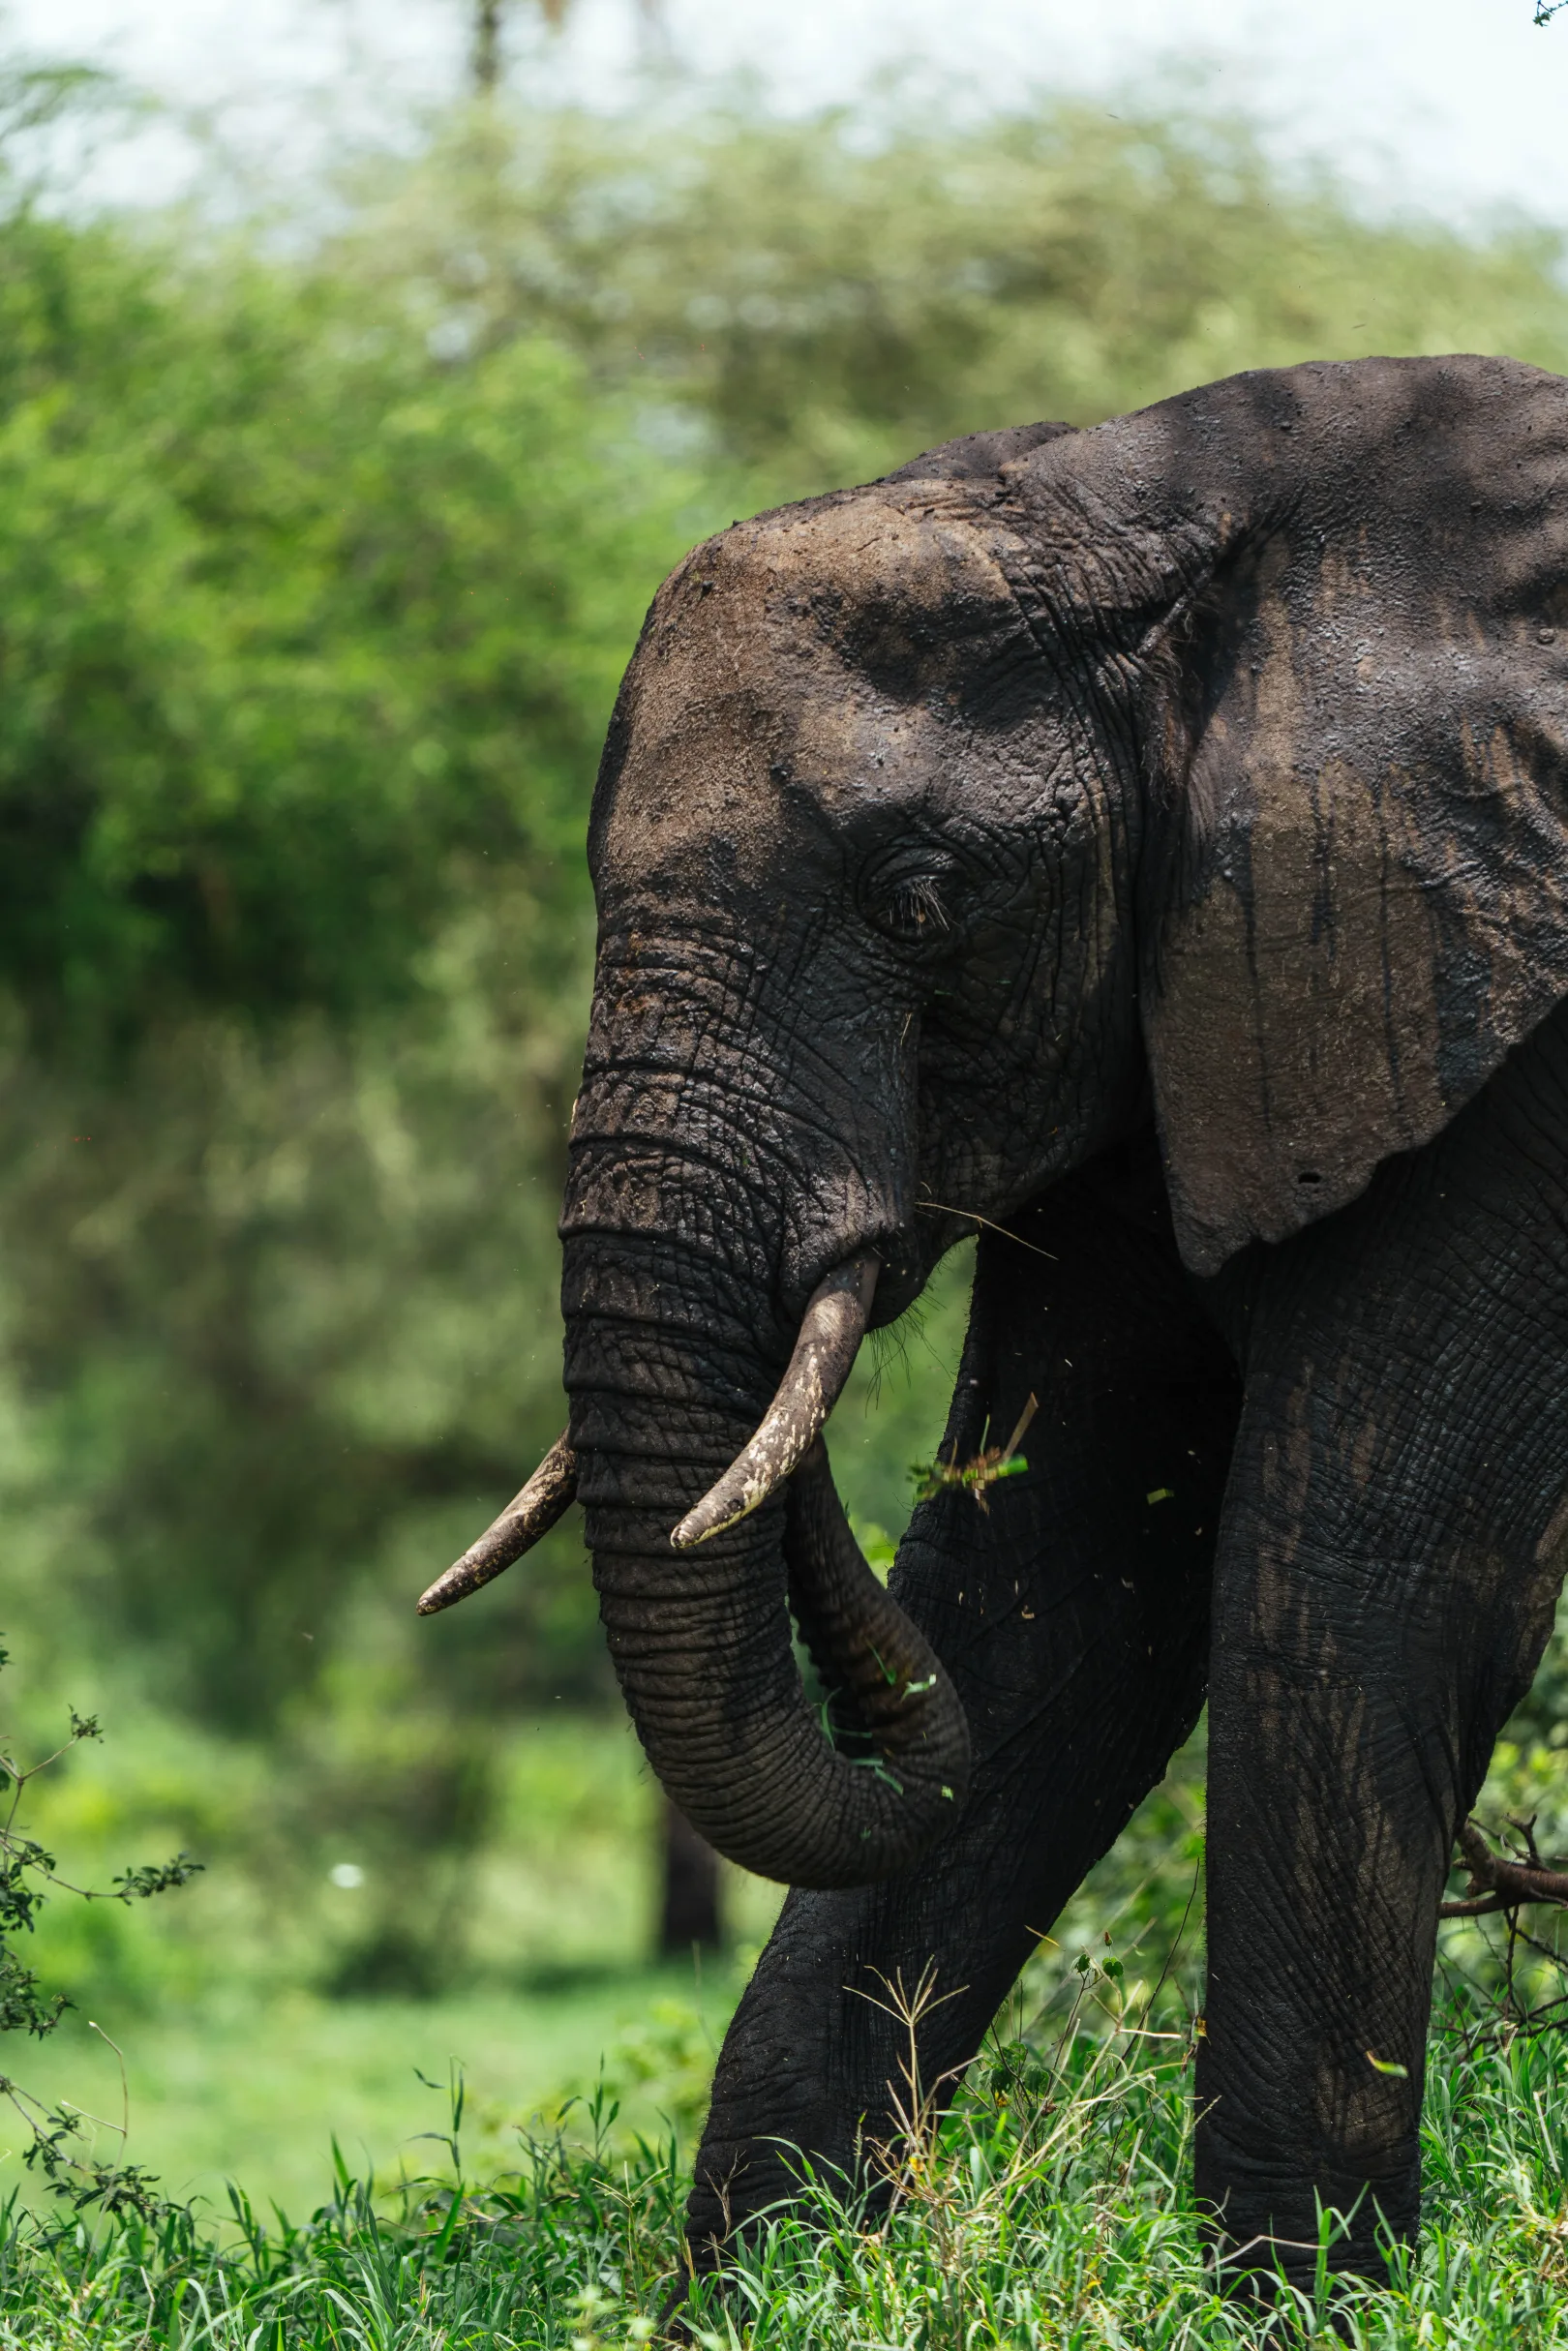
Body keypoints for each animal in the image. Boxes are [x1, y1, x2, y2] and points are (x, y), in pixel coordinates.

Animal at [422, 353, 1568, 2291]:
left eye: (921, 900)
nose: (838, 1247)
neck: (1162, 517)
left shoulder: (1503, 1040)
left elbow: (1354, 1576)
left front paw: (1303, 2294)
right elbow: (1059, 1581)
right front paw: (766, 2287)